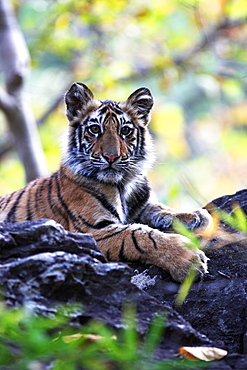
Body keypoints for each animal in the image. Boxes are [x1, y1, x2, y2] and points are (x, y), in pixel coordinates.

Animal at [0, 83, 212, 280]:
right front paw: (188, 258)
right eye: (95, 129)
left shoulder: (139, 206)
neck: (123, 184)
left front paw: (195, 215)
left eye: (125, 131)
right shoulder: (91, 230)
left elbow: (157, 207)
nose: (111, 157)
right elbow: (139, 236)